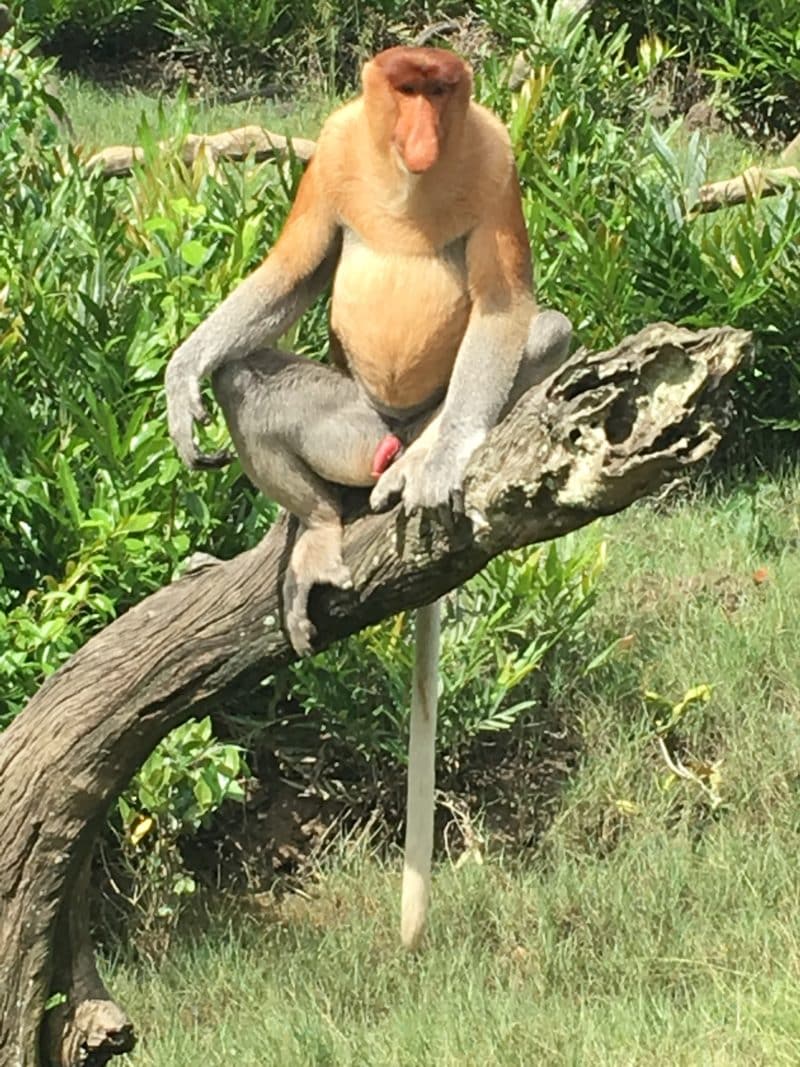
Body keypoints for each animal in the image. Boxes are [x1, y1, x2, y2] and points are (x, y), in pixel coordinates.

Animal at [165, 46, 572, 949]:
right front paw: (182, 378)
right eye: (405, 87)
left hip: (424, 409)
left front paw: (445, 465)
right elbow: (295, 268)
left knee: (548, 330)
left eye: (441, 90)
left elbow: (507, 307)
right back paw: (315, 526)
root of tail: (388, 425)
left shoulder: (495, 158)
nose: (421, 132)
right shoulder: (332, 147)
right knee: (247, 376)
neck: (404, 179)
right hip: (348, 417)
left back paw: (414, 461)